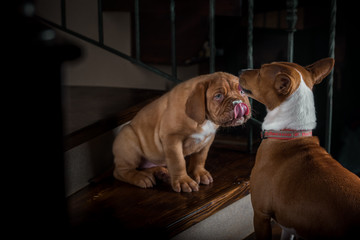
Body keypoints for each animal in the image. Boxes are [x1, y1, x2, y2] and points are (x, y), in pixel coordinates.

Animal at [112, 71, 250, 193]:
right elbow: (178, 162)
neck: (204, 120)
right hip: (128, 139)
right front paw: (184, 182)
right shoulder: (172, 138)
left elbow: (200, 157)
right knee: (121, 171)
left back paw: (160, 173)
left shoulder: (208, 138)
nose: (238, 103)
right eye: (218, 96)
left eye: (242, 92)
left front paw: (199, 173)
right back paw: (141, 177)